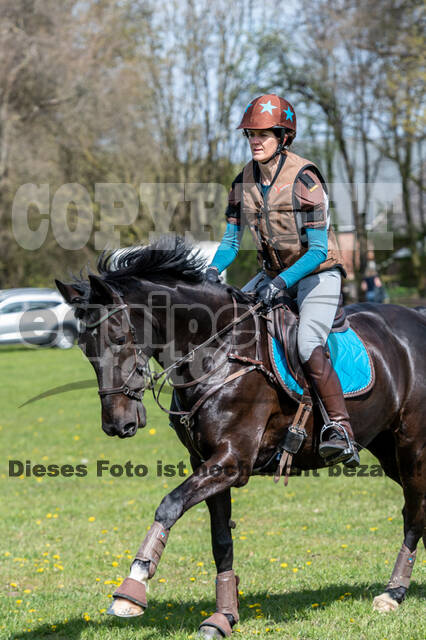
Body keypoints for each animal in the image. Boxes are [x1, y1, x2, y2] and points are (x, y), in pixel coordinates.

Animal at [55, 238, 426, 636]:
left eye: (120, 337)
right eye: (85, 347)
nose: (117, 424)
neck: (218, 352)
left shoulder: (232, 462)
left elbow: (169, 505)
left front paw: (131, 588)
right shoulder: (207, 462)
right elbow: (221, 539)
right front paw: (223, 617)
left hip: (411, 447)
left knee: (414, 512)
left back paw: (393, 593)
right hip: (387, 448)